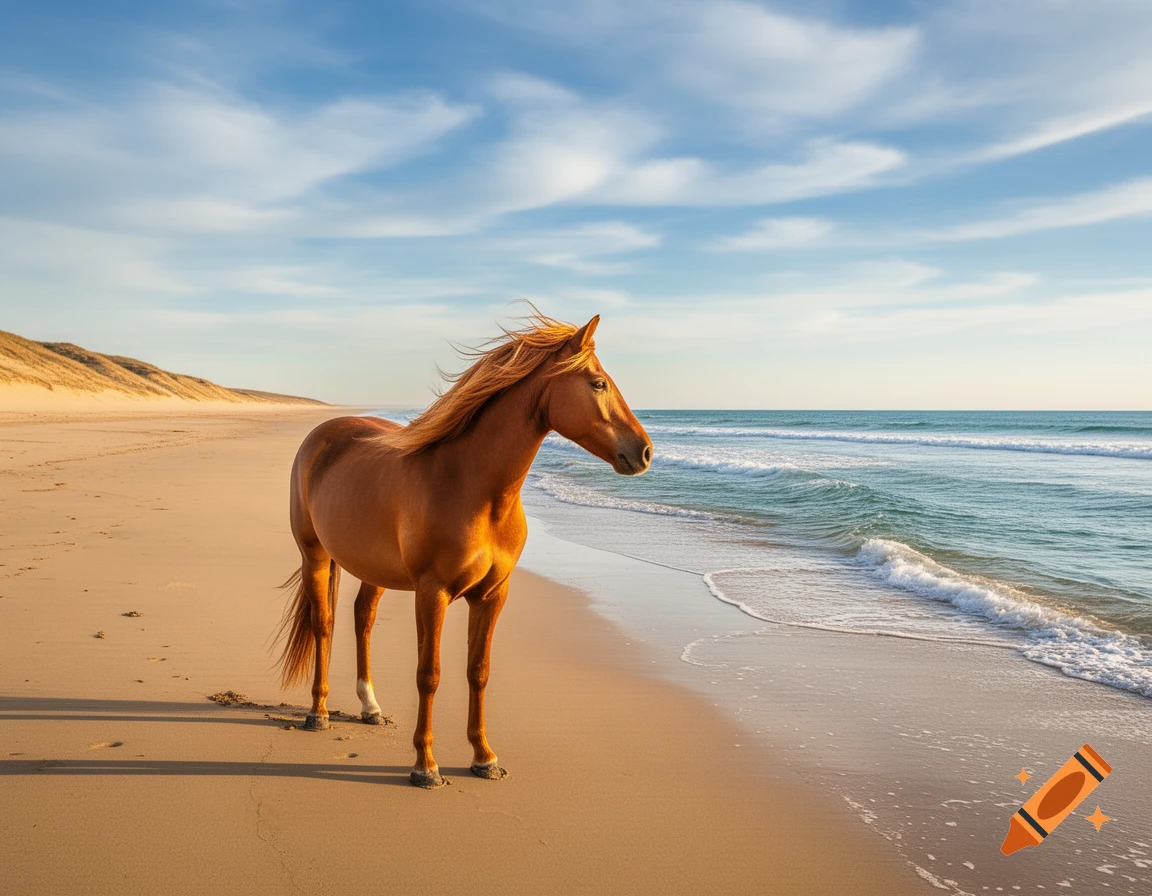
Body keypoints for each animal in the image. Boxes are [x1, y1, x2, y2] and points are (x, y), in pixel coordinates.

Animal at [276, 312, 652, 787]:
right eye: (598, 383)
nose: (645, 452)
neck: (474, 488)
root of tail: (323, 434)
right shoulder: (431, 592)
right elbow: (429, 674)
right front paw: (425, 765)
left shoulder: (492, 595)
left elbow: (479, 671)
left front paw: (484, 756)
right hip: (315, 555)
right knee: (323, 624)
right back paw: (319, 712)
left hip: (371, 567)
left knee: (363, 619)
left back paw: (370, 707)